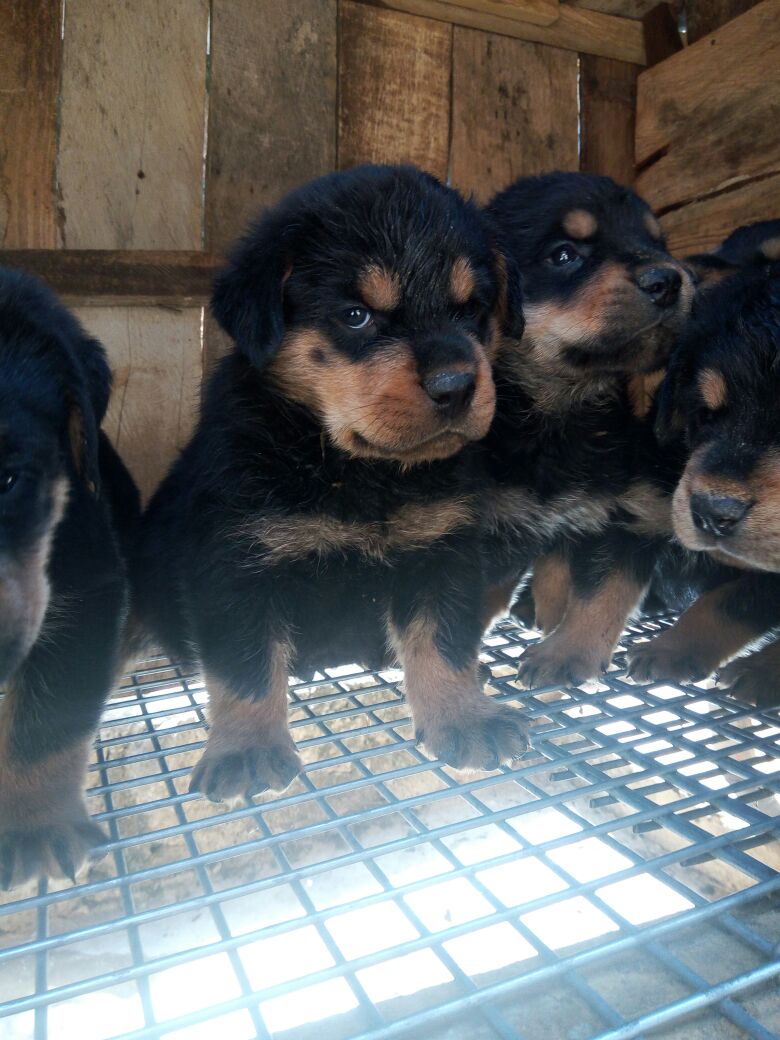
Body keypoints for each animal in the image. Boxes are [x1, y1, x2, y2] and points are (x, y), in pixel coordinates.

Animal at [136, 162, 532, 798]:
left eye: (472, 307)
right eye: (355, 315)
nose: (455, 385)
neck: (359, 472)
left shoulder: (442, 549)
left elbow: (443, 643)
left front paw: (465, 717)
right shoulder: (233, 563)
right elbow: (245, 667)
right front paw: (246, 749)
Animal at [482, 174, 694, 686]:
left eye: (657, 243)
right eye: (564, 255)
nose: (668, 279)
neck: (561, 410)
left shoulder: (617, 511)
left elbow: (602, 593)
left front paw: (565, 652)